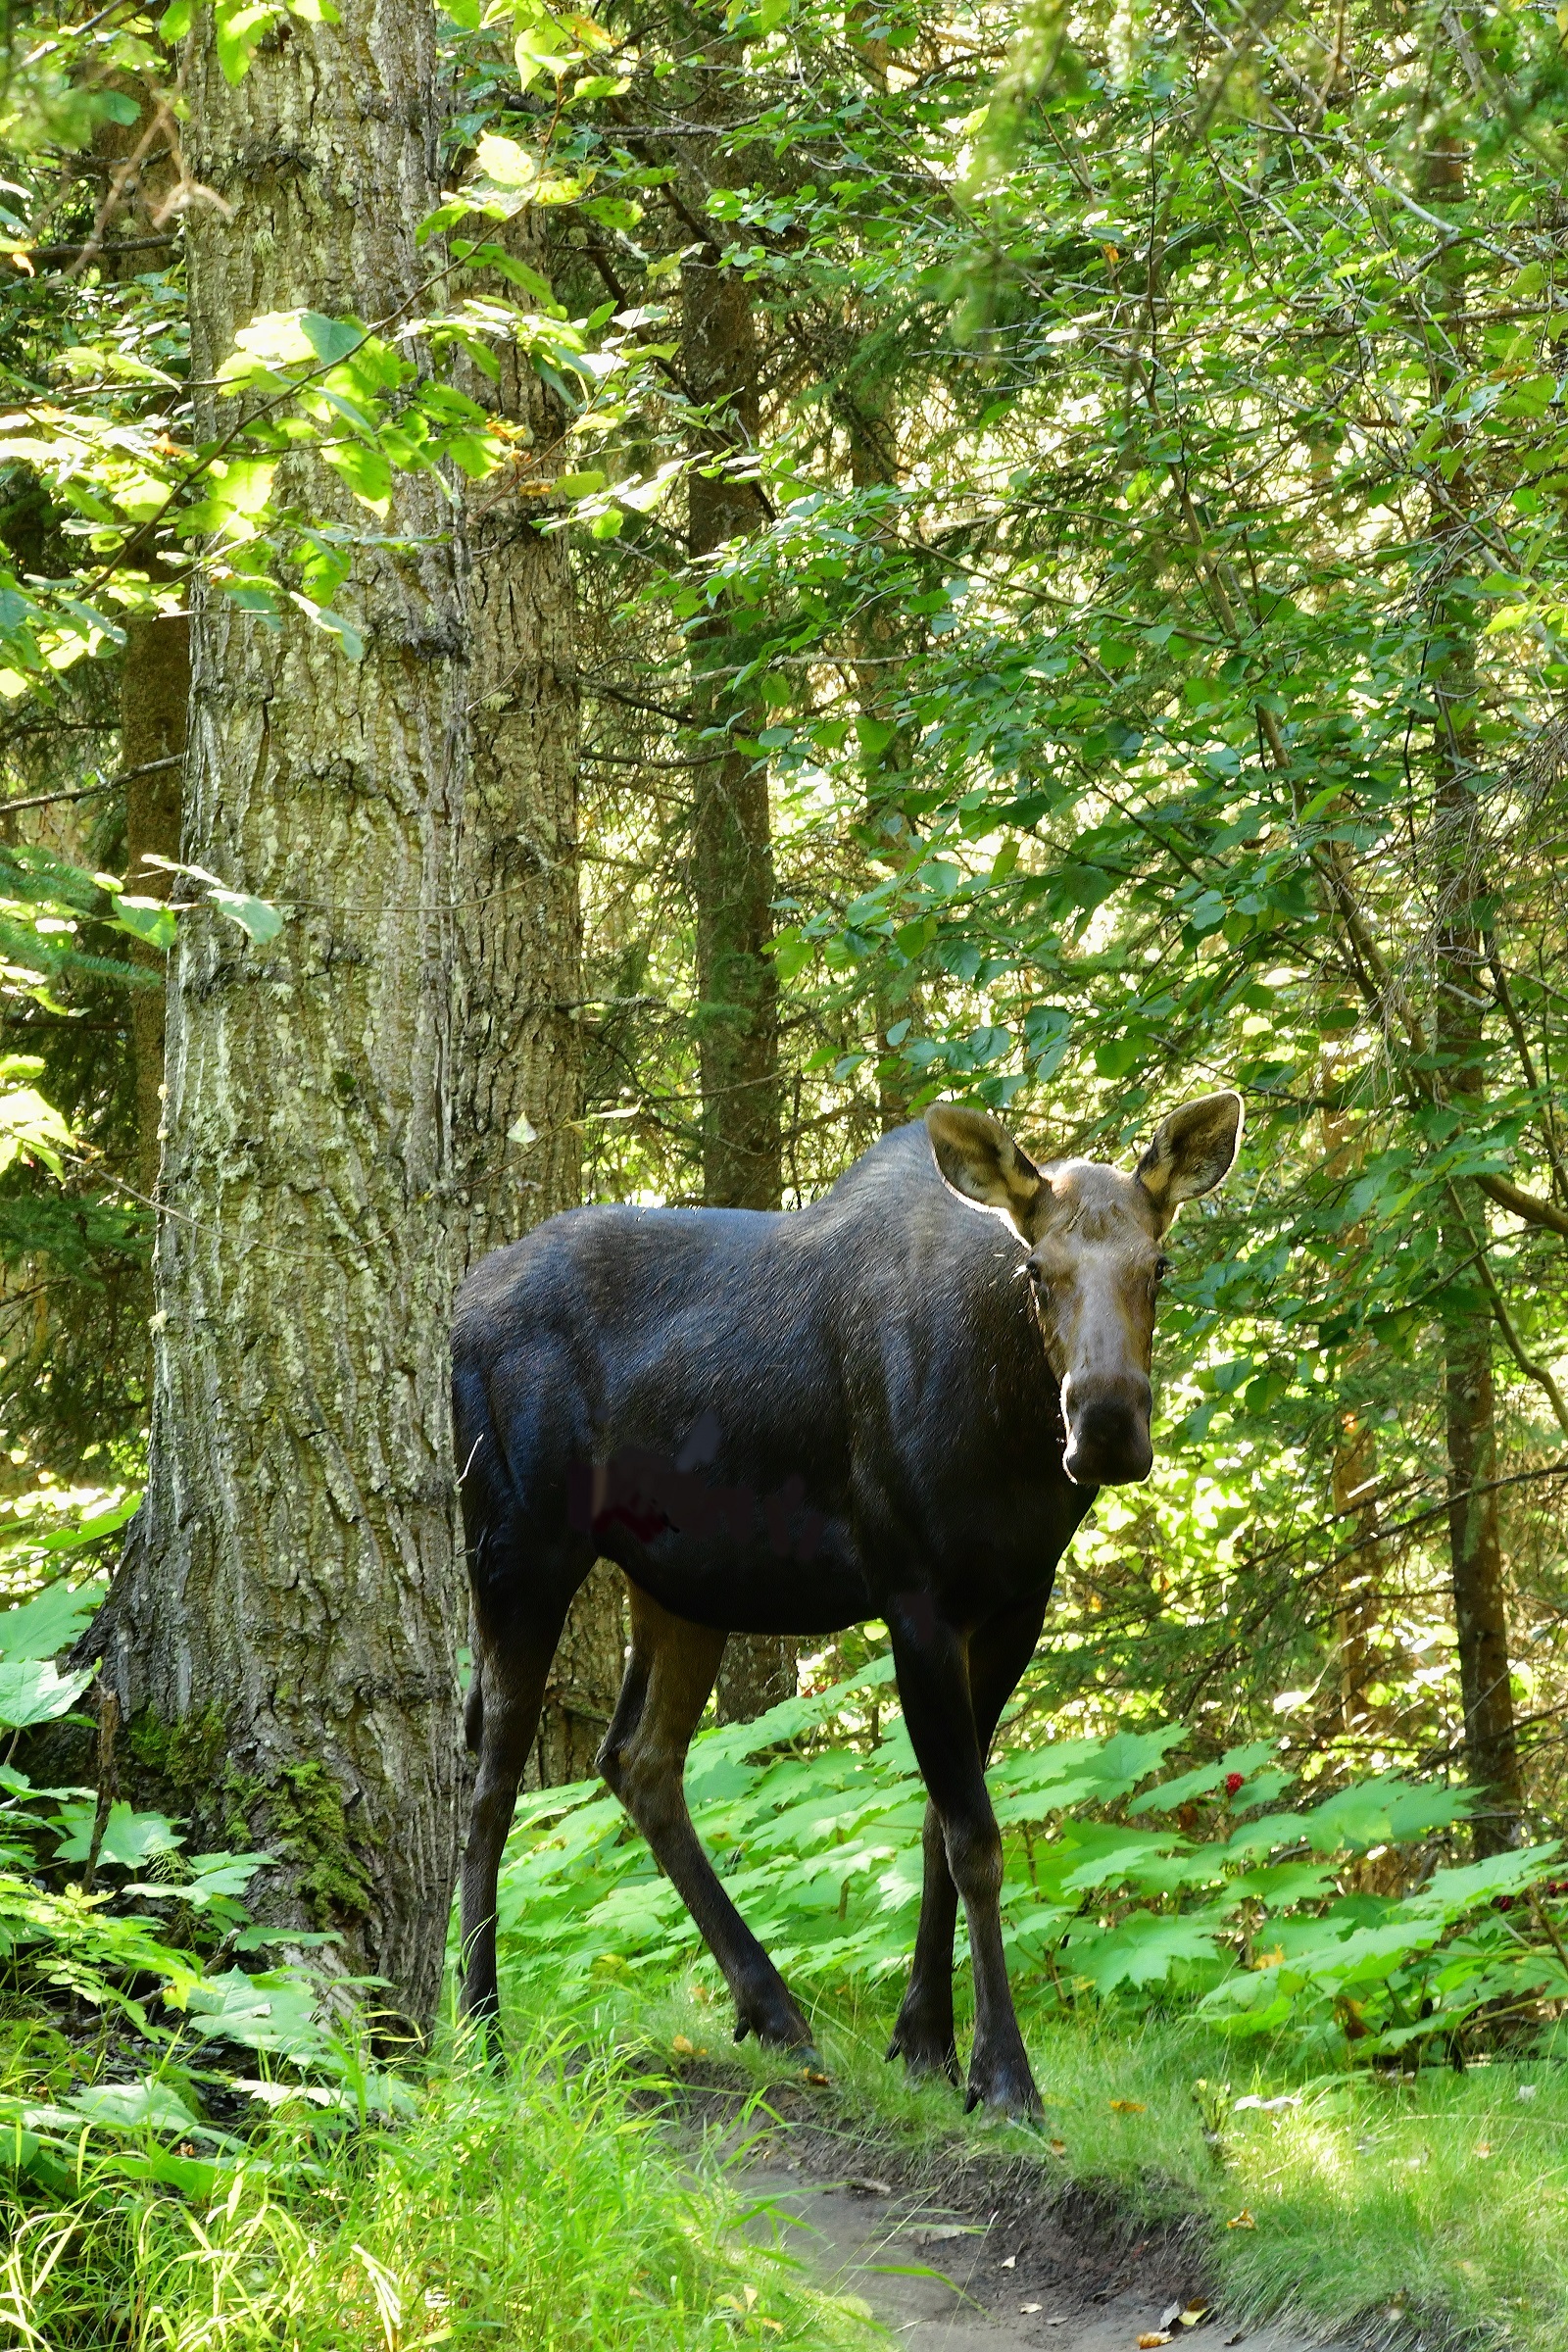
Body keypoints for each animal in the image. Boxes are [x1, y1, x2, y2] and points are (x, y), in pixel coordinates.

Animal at [451, 1091, 1241, 2126]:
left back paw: (773, 2009)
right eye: (1037, 1269)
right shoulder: (915, 1598)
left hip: (682, 1581)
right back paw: (479, 2035)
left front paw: (929, 2046)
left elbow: (940, 1828)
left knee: (637, 1758)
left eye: (1161, 1264)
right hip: (517, 1546)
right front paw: (1006, 2076)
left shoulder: (1015, 1605)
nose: (1106, 1425)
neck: (1011, 1439)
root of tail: (457, 1311)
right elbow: (976, 1838)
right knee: (492, 1780)